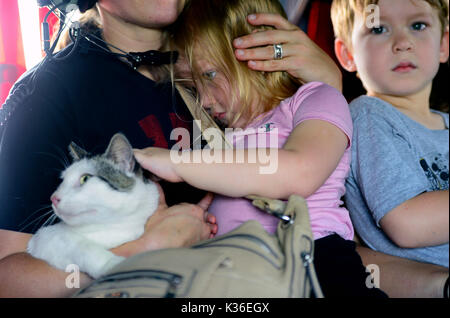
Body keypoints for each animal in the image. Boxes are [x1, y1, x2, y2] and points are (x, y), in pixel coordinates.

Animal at [26, 133, 160, 280]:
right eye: (62, 181)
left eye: (85, 178)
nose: (53, 198)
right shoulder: (45, 237)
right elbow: (81, 246)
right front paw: (112, 264)